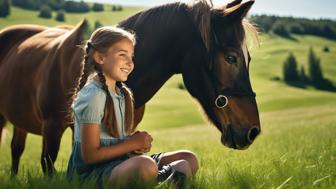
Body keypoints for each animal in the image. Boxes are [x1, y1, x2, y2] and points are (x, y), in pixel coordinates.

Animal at [0, 0, 260, 174]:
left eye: (248, 59)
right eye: (231, 58)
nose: (253, 131)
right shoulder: (52, 128)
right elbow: (50, 165)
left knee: (16, 149)